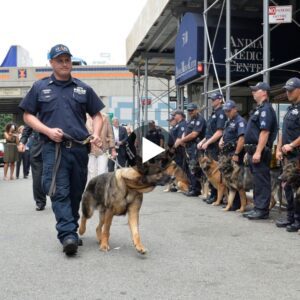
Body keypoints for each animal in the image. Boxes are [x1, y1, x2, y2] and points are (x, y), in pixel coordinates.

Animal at [19, 44, 104, 255]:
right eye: (60, 59)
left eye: (67, 59)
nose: (65, 63)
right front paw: (68, 238)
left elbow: (96, 113)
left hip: (79, 172)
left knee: (75, 195)